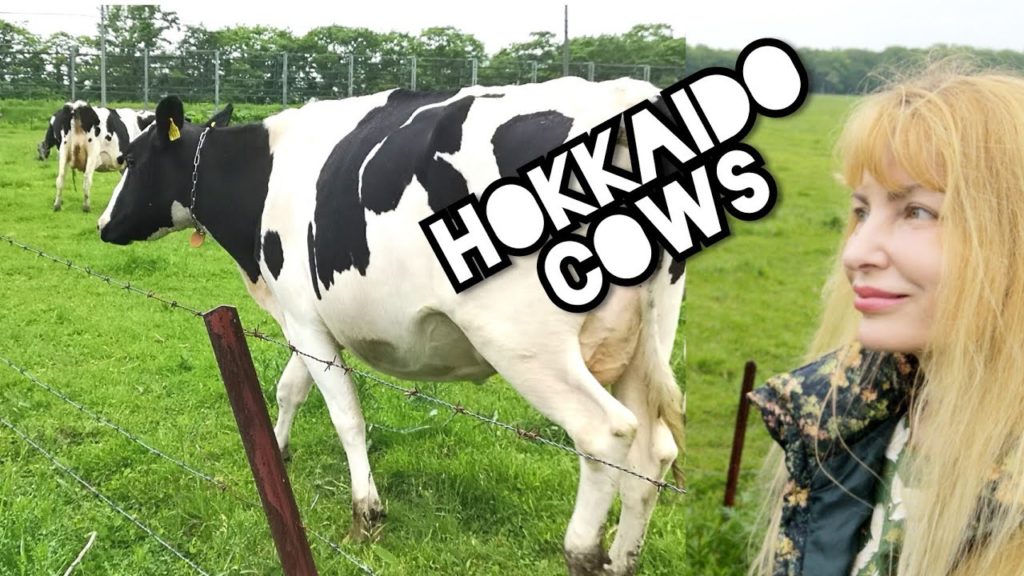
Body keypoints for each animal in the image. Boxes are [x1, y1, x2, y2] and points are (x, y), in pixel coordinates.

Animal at [97, 80, 686, 576]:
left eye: (130, 158)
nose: (104, 225)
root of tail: (620, 95)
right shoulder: (309, 319)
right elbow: (289, 388)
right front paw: (277, 452)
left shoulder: (304, 321)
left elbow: (346, 417)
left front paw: (365, 512)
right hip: (646, 342)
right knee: (652, 454)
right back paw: (623, 559)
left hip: (525, 341)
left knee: (605, 433)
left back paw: (582, 550)